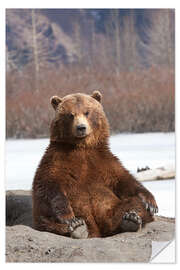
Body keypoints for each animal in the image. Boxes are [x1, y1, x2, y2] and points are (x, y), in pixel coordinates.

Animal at [32, 91, 158, 238]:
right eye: (70, 114)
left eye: (87, 112)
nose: (81, 127)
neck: (82, 147)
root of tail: (97, 230)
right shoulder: (56, 160)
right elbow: (48, 186)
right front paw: (68, 217)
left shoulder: (104, 162)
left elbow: (125, 180)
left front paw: (151, 203)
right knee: (46, 221)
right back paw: (77, 227)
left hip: (110, 208)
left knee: (133, 205)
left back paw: (130, 220)